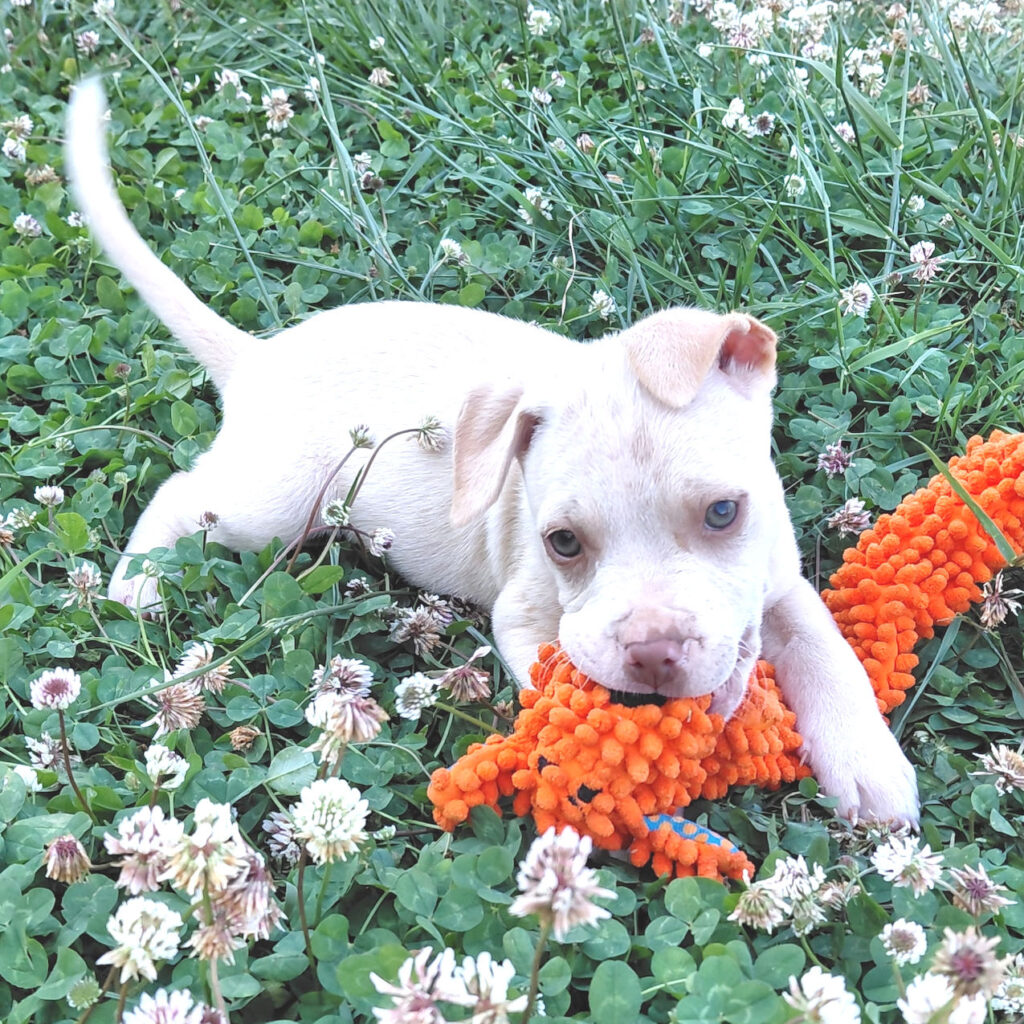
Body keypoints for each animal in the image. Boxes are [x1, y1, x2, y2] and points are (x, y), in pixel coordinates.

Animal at [66, 77, 919, 825]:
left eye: (722, 513)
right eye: (563, 543)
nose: (651, 654)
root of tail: (257, 358)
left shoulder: (780, 582)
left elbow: (825, 651)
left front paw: (868, 763)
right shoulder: (526, 617)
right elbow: (557, 681)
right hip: (272, 505)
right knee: (182, 494)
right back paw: (136, 585)